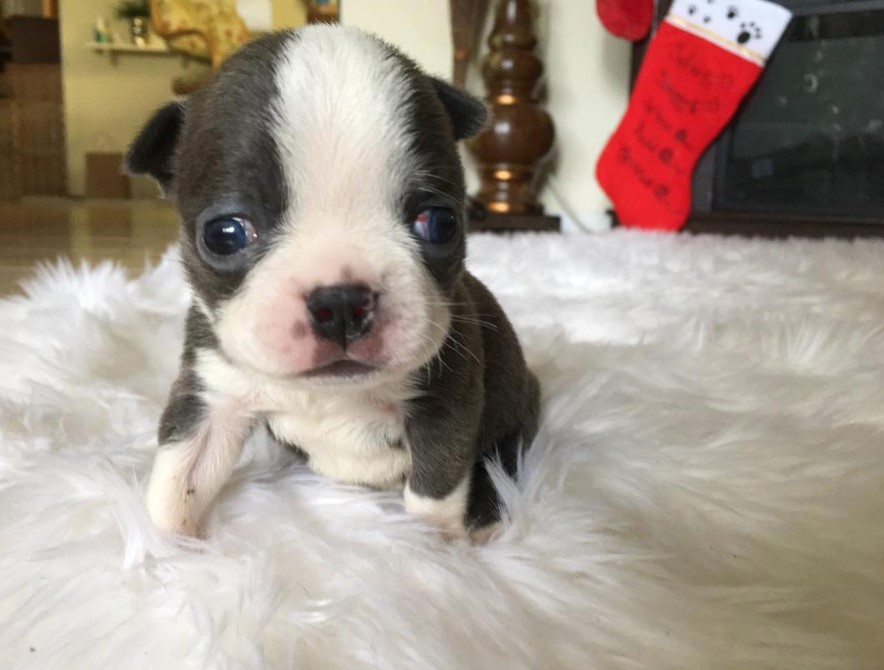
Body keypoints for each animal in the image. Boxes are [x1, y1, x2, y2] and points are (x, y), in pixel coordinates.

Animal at [124, 23, 540, 544]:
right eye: (224, 235)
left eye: (441, 223)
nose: (341, 303)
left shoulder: (448, 404)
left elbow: (432, 493)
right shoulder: (214, 390)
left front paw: (432, 547)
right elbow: (179, 481)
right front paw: (169, 550)